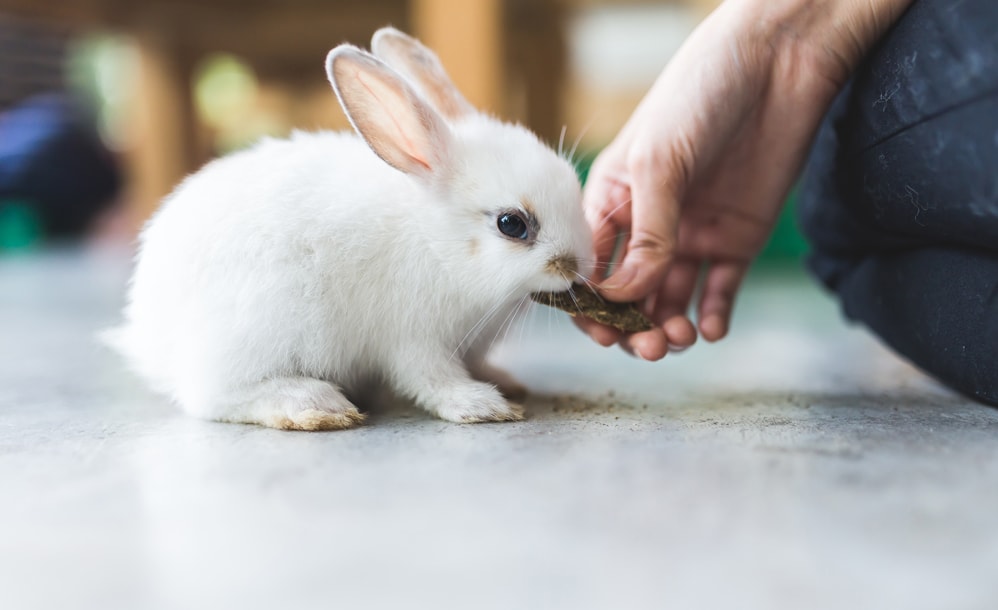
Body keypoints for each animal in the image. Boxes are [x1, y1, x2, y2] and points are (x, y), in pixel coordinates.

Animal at [107, 27, 592, 428]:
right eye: (513, 225)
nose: (575, 266)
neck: (436, 242)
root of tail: (148, 334)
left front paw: (503, 382)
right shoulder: (414, 338)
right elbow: (432, 379)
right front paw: (483, 405)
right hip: (260, 328)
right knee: (211, 396)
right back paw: (315, 405)